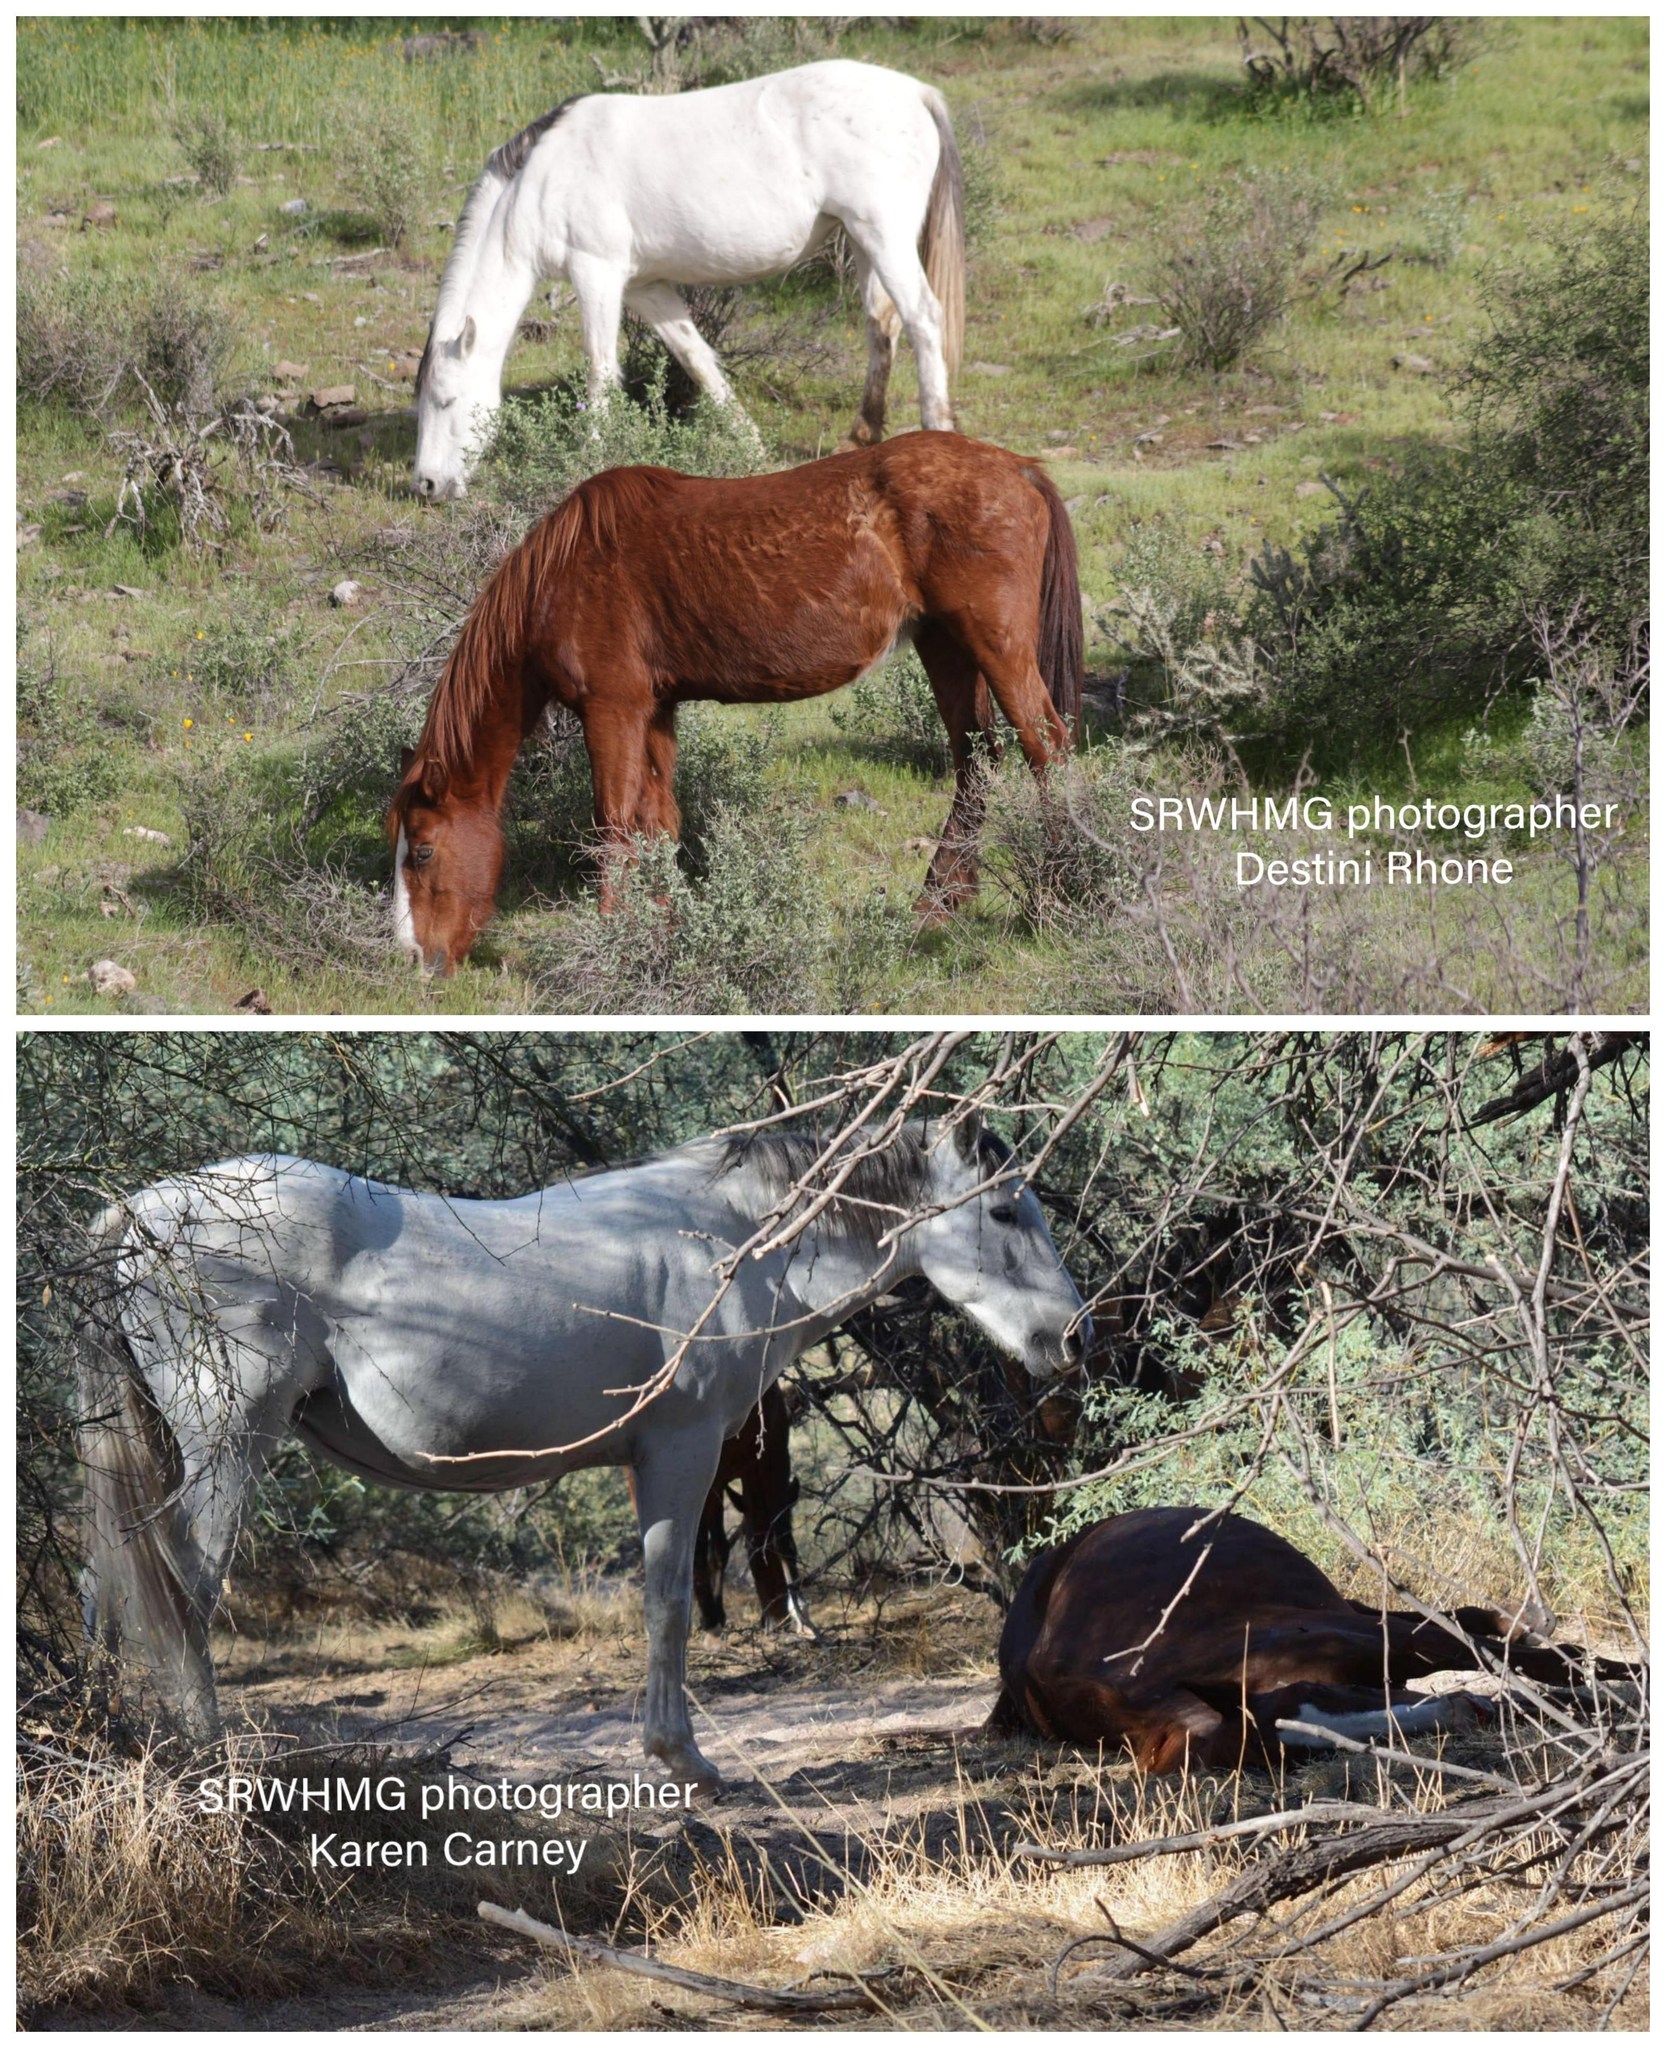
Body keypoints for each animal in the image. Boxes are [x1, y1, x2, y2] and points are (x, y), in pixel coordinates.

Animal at [385, 428, 1081, 970]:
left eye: (422, 851)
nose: (414, 958)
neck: (564, 575)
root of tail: (1017, 466)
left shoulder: (613, 709)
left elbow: (611, 824)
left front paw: (613, 938)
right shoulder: (655, 709)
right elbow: (657, 822)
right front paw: (666, 928)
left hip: (995, 645)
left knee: (1046, 750)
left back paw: (1059, 896)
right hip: (945, 645)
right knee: (976, 762)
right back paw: (937, 906)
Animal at [409, 60, 967, 495]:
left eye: (446, 400)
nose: (426, 485)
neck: (541, 180)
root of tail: (915, 92)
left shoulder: (597, 274)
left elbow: (600, 370)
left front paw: (589, 455)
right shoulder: (644, 287)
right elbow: (696, 357)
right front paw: (751, 445)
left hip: (883, 236)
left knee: (922, 317)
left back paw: (937, 430)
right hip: (863, 240)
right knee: (881, 325)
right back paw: (859, 436)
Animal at [979, 1507, 1631, 1777]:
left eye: (1316, 1694)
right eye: (1303, 1755)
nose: (1465, 1712)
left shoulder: (1369, 1642)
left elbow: (1534, 1664)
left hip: (1358, 1617)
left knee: (1464, 1627)